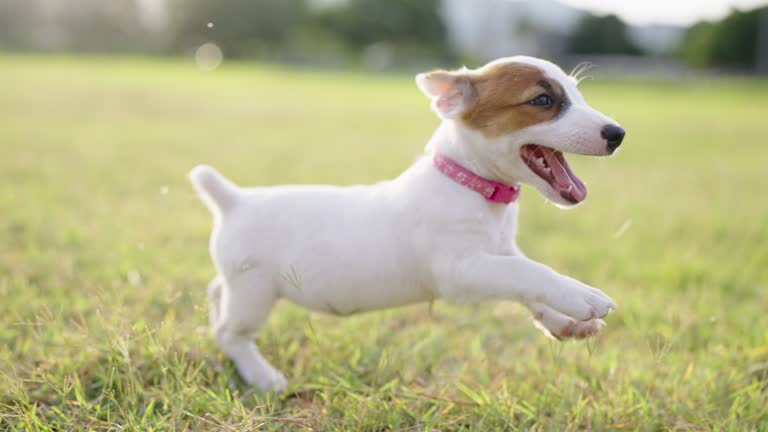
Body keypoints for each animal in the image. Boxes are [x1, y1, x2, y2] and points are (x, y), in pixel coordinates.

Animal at [190, 54, 624, 392]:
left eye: (576, 93)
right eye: (543, 100)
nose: (617, 133)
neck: (471, 183)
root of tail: (233, 200)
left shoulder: (500, 251)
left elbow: (527, 277)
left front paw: (563, 322)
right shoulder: (461, 271)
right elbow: (530, 272)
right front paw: (583, 297)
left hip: (241, 285)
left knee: (217, 294)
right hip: (254, 292)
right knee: (230, 334)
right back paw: (262, 375)